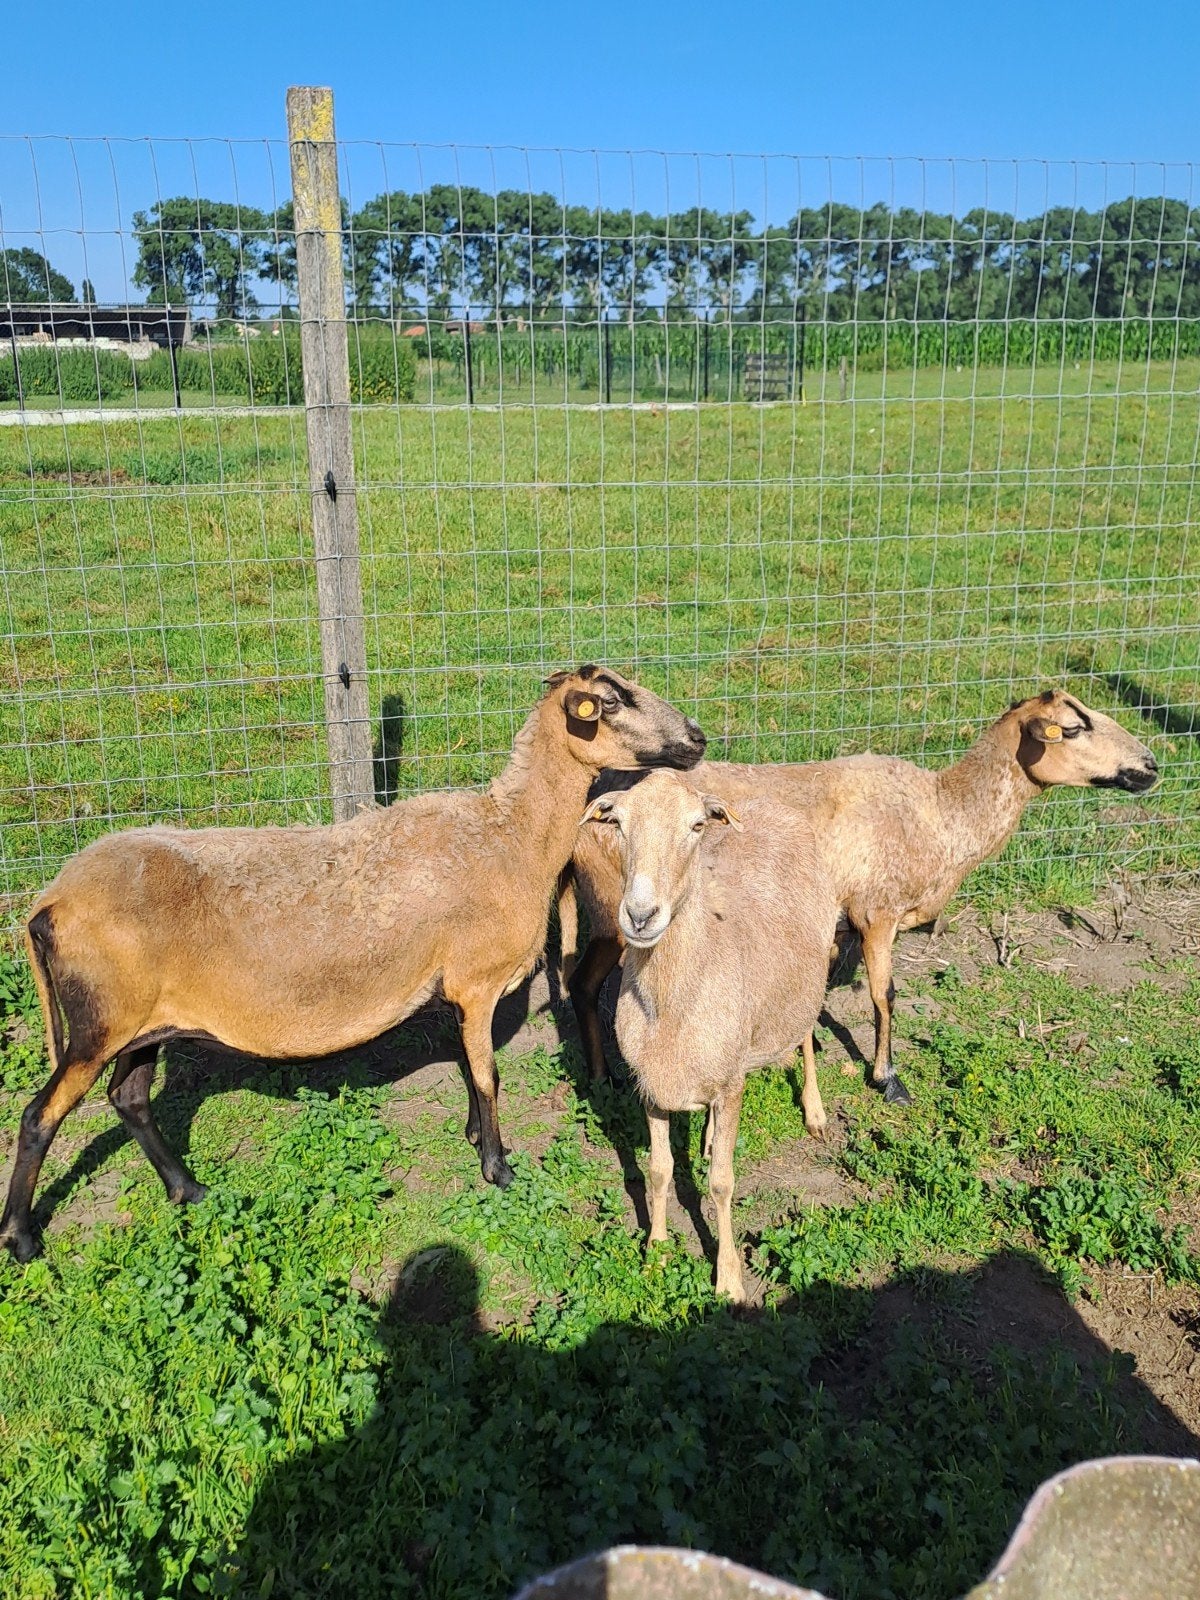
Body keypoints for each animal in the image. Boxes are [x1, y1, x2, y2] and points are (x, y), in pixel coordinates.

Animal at [0, 665, 706, 1262]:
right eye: (612, 701)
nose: (697, 739)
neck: (512, 835)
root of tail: (47, 902)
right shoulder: (476, 982)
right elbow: (487, 1077)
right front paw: (499, 1168)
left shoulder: (456, 991)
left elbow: (469, 1067)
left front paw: (474, 1137)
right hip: (100, 1023)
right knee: (39, 1118)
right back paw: (23, 1239)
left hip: (143, 1024)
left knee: (129, 1099)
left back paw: (188, 1189)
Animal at [567, 689, 1159, 1103]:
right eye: (1074, 728)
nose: (1151, 767)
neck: (943, 813)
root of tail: (594, 795)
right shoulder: (878, 912)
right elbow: (884, 995)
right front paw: (887, 1078)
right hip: (617, 914)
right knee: (582, 983)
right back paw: (602, 1079)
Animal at [580, 768, 840, 1302]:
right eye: (617, 824)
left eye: (697, 825)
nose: (640, 916)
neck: (671, 1006)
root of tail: (771, 805)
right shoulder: (651, 1087)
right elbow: (659, 1171)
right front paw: (656, 1255)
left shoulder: (732, 1084)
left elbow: (721, 1183)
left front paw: (729, 1280)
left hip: (811, 974)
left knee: (805, 1036)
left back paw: (814, 1111)